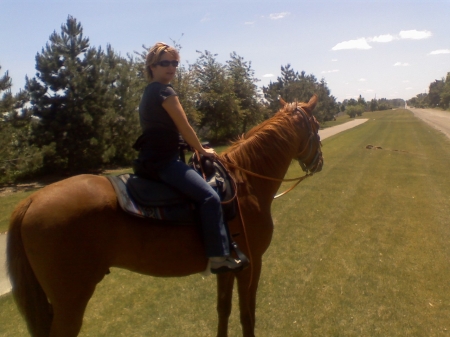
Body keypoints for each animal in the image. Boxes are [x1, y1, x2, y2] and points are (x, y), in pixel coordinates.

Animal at [7, 93, 324, 334]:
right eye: (318, 125)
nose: (319, 163)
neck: (245, 183)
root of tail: (30, 201)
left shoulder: (229, 265)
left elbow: (223, 309)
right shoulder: (252, 263)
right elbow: (248, 315)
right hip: (71, 300)